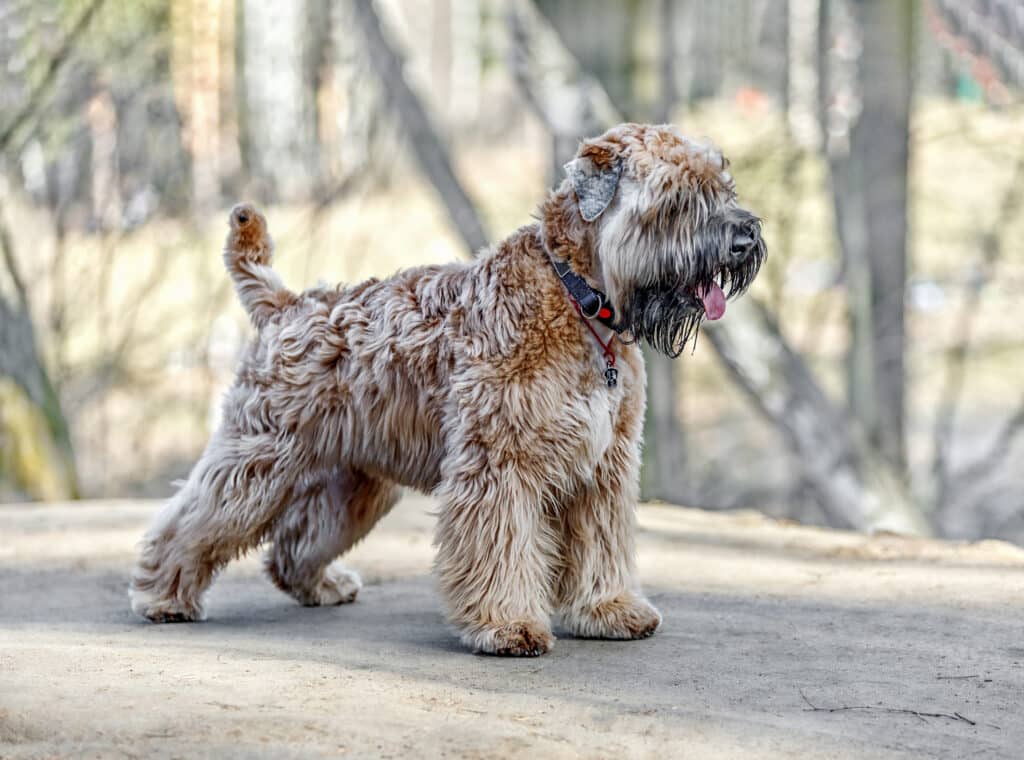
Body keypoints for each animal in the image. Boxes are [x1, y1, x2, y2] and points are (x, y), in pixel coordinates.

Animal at [132, 123, 765, 655]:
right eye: (677, 197)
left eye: (722, 185)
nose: (746, 236)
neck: (578, 300)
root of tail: (286, 304)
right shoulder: (500, 463)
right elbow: (501, 548)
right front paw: (506, 625)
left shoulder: (602, 469)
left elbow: (600, 546)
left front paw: (608, 609)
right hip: (257, 462)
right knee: (192, 522)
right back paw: (162, 595)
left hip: (354, 484)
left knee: (294, 544)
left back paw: (322, 585)